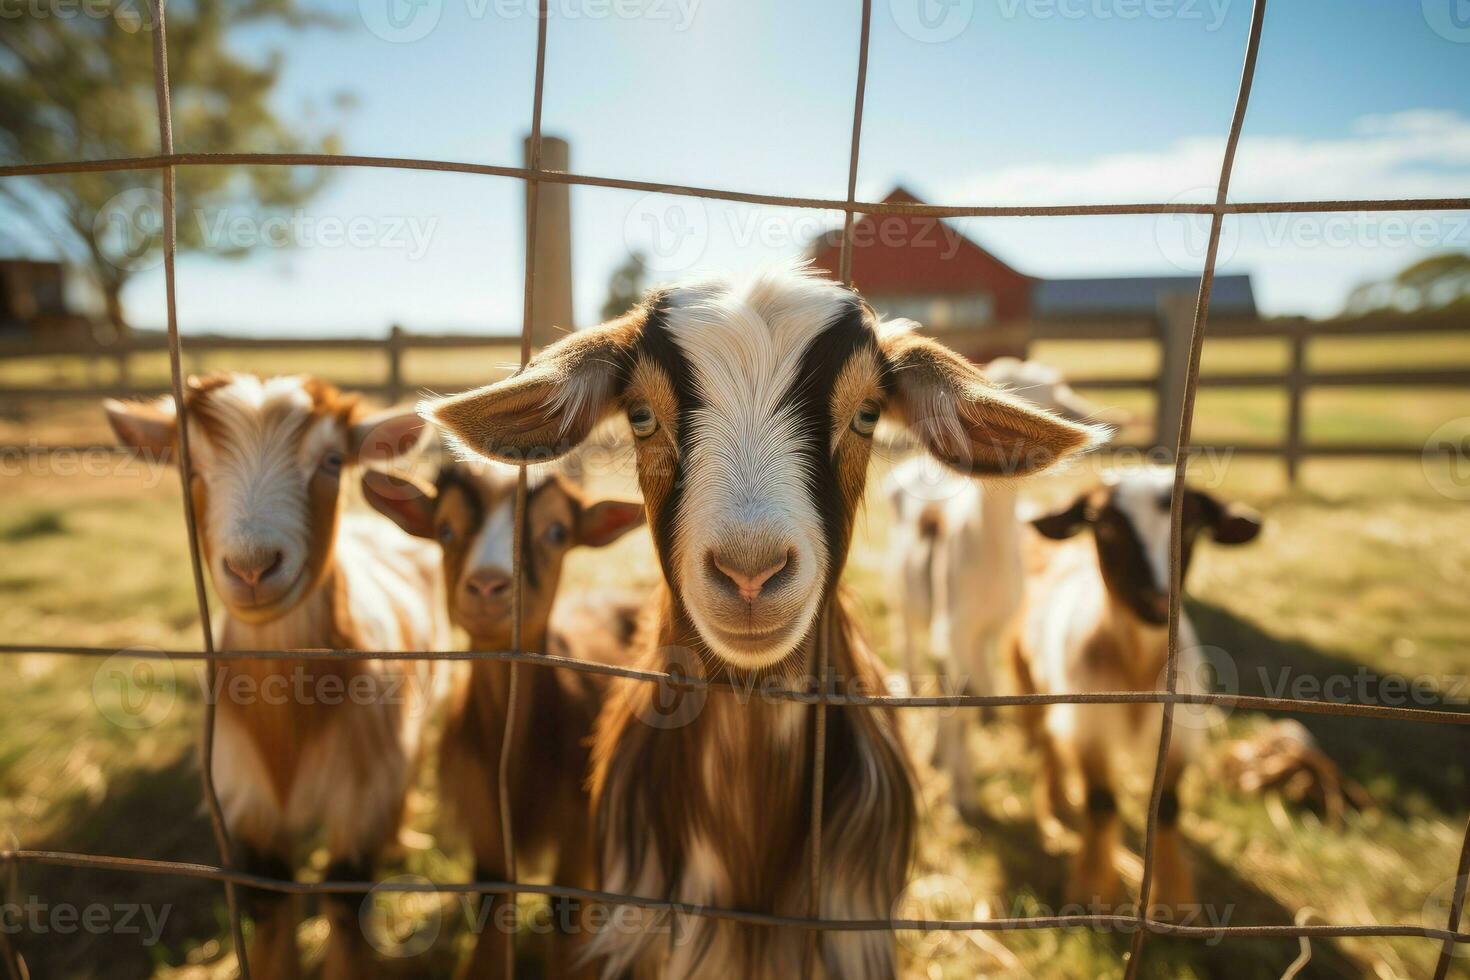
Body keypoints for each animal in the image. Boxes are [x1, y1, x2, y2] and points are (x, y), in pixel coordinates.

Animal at [106, 376, 446, 980]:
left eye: (333, 460)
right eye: (189, 463)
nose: (252, 567)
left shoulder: (362, 786)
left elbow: (345, 893)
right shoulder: (246, 794)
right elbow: (269, 895)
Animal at [361, 461, 643, 980]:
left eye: (557, 532)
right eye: (446, 529)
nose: (489, 585)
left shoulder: (578, 827)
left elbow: (568, 912)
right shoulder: (483, 816)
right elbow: (492, 900)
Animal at [1011, 467, 1264, 910]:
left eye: (1192, 525)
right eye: (1104, 524)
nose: (1157, 602)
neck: (1136, 667)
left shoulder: (1179, 735)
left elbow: (1167, 807)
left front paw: (1174, 897)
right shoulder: (1089, 728)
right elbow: (1101, 803)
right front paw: (1093, 888)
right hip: (1031, 683)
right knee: (1047, 742)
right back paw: (1054, 801)